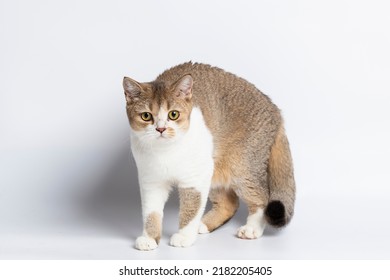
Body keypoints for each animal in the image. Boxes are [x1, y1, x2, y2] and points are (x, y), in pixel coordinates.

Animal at [122, 62, 296, 250]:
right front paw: (150, 238)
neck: (165, 151)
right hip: (214, 171)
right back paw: (204, 224)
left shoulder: (194, 179)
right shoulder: (152, 181)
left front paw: (184, 236)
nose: (160, 129)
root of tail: (275, 110)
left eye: (173, 114)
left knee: (262, 197)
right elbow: (151, 213)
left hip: (242, 167)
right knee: (229, 204)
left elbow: (190, 209)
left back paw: (251, 229)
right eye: (146, 116)